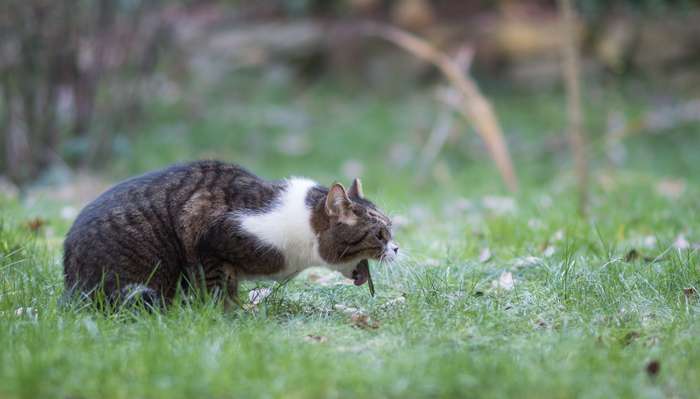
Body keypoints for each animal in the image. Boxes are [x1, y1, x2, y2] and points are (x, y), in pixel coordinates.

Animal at [64, 161, 400, 308]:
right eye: (380, 234)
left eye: (391, 230)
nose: (397, 248)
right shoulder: (207, 236)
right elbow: (217, 288)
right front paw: (226, 316)